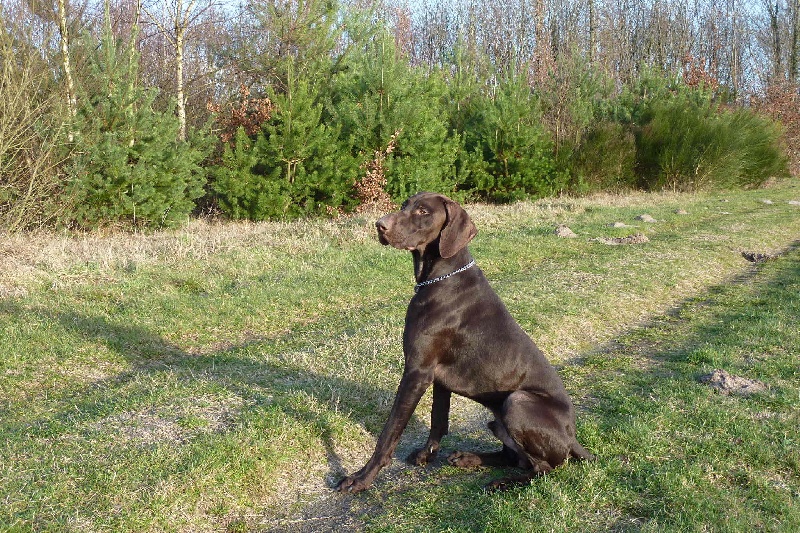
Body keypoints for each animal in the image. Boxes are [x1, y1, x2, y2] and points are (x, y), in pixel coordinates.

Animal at [334, 193, 592, 492]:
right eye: (404, 205)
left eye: (423, 211)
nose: (379, 225)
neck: (442, 276)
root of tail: (574, 440)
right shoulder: (437, 377)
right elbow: (438, 420)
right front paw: (427, 454)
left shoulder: (417, 371)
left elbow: (389, 432)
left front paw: (362, 477)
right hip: (498, 422)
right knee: (514, 457)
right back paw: (469, 458)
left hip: (517, 401)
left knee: (543, 468)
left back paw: (502, 483)